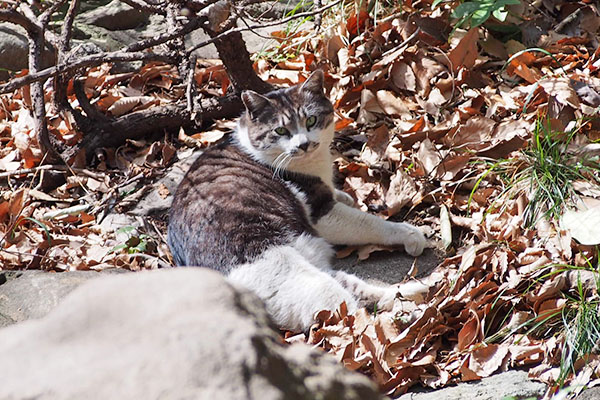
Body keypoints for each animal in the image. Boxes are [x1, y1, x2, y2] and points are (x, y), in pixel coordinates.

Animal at [168, 69, 426, 332]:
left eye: (311, 120)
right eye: (280, 131)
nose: (303, 144)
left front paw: (345, 195)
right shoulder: (321, 212)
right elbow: (369, 222)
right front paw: (409, 232)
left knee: (360, 292)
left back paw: (417, 291)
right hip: (301, 279)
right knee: (354, 317)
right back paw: (407, 317)